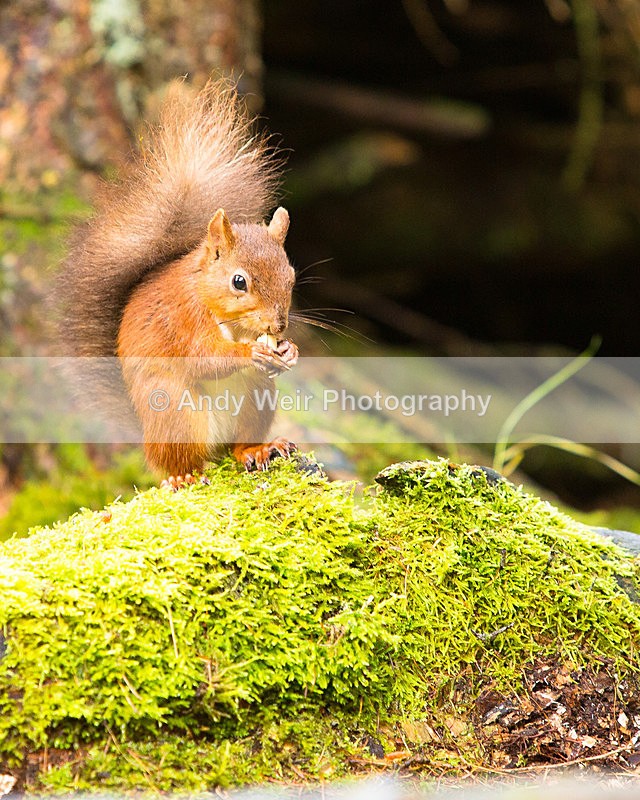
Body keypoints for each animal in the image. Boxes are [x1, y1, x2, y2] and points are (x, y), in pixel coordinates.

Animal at [57, 79, 299, 483]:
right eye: (239, 282)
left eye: (292, 276)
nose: (278, 326)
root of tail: (144, 433)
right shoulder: (184, 319)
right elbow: (203, 357)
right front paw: (252, 352)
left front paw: (290, 350)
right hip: (174, 409)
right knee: (177, 460)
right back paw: (185, 475)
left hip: (256, 395)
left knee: (236, 447)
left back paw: (257, 449)